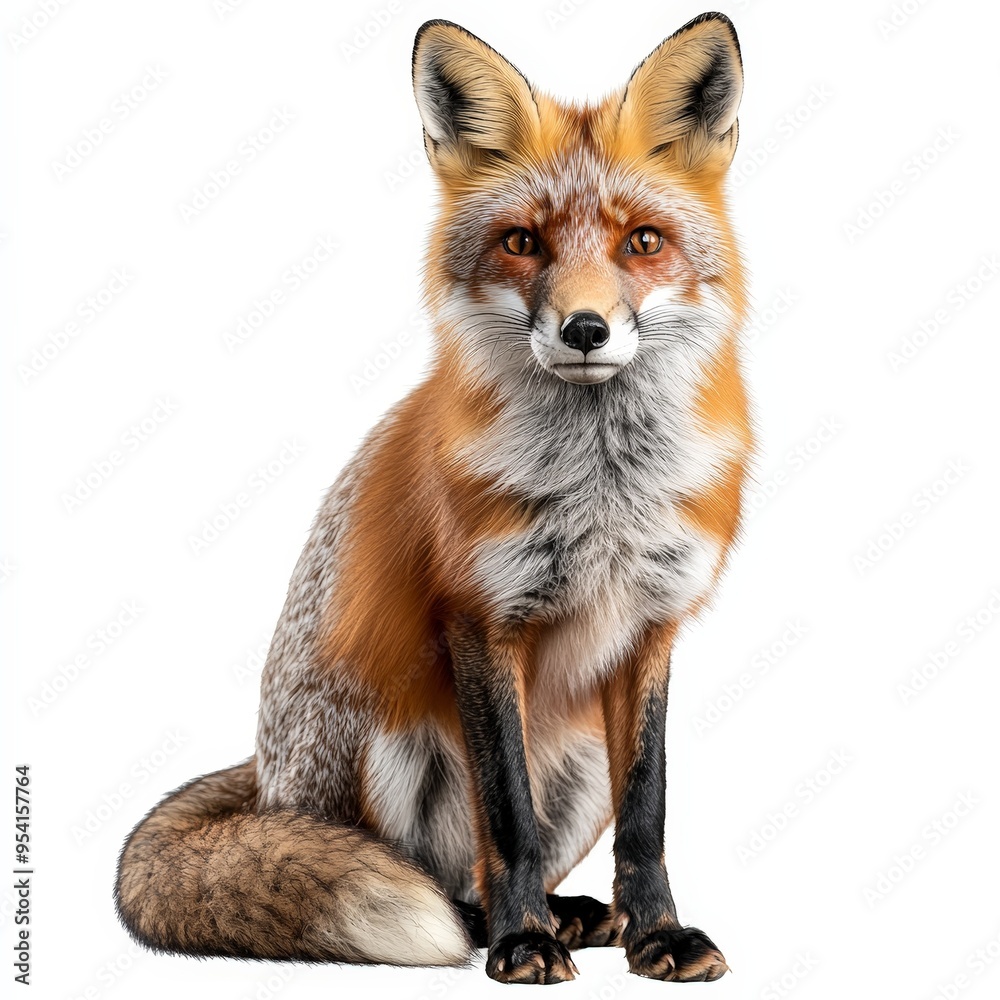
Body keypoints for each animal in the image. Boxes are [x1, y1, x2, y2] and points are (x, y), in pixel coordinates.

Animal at [116, 13, 752, 986]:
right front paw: (521, 943)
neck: (603, 490)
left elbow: (648, 813)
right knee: (448, 880)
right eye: (522, 242)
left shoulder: (652, 624)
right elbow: (508, 815)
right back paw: (505, 923)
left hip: (579, 764)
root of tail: (265, 779)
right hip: (386, 743)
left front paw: (658, 936)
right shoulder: (479, 615)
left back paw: (573, 914)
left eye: (643, 242)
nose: (585, 330)